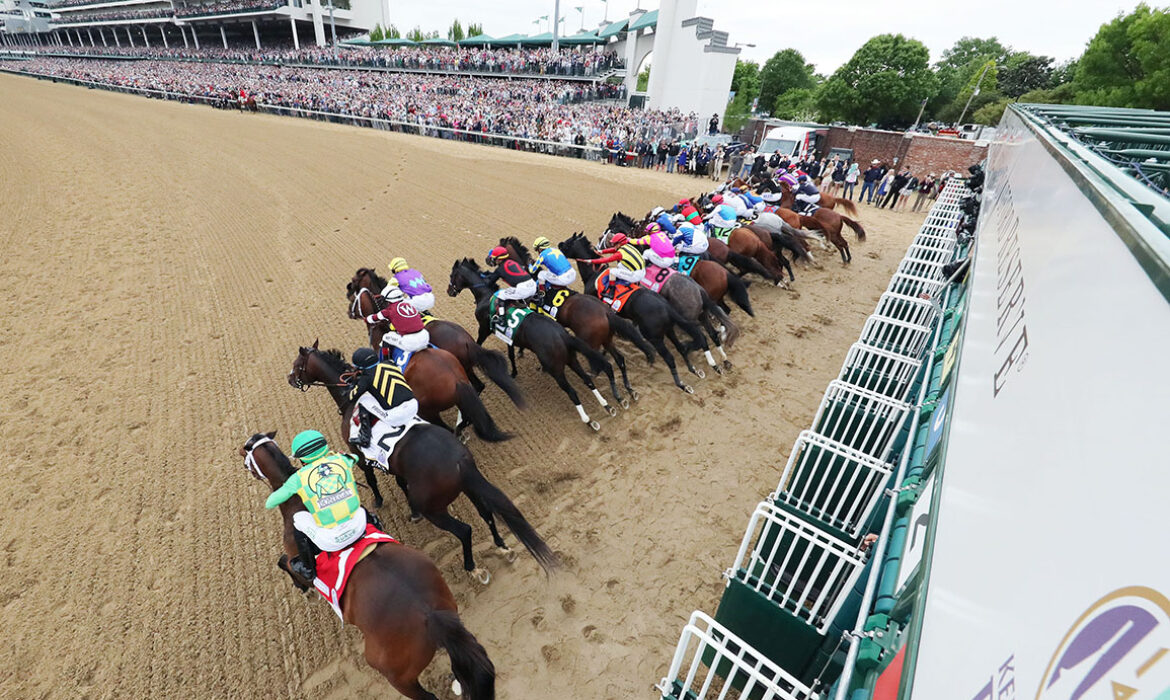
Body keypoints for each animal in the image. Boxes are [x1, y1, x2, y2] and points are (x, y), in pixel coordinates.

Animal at [237, 433, 493, 700]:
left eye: (246, 454)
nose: (243, 464)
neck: (296, 503)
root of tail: (431, 616)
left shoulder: (296, 552)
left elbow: (284, 562)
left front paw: (304, 589)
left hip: (394, 672)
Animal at [285, 341, 554, 585]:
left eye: (297, 365)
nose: (290, 378)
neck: (352, 400)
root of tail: (460, 460)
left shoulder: (359, 455)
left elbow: (372, 480)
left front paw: (379, 500)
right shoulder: (393, 462)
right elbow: (401, 482)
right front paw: (411, 512)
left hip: (433, 507)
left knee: (464, 530)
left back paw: (473, 569)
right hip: (468, 487)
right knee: (486, 513)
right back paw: (503, 547)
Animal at [444, 261, 613, 430]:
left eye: (452, 275)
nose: (449, 291)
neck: (486, 296)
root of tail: (562, 334)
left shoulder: (484, 329)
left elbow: (478, 344)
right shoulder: (509, 335)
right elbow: (511, 354)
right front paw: (513, 372)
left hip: (556, 368)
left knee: (572, 392)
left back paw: (588, 420)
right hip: (571, 360)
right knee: (587, 380)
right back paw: (607, 406)